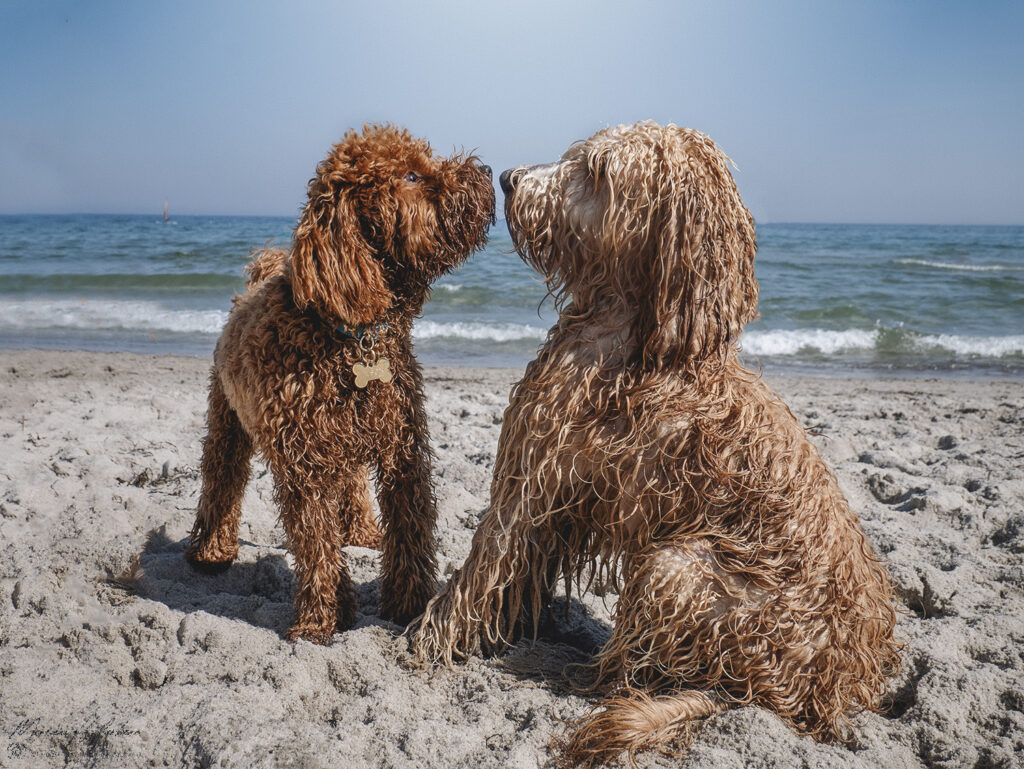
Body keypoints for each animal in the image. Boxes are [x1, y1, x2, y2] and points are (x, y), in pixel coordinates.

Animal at [411, 123, 901, 765]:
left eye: (597, 171)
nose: (509, 178)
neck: (645, 344)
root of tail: (826, 690)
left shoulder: (530, 480)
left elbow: (480, 568)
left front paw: (428, 639)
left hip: (675, 566)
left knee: (632, 676)